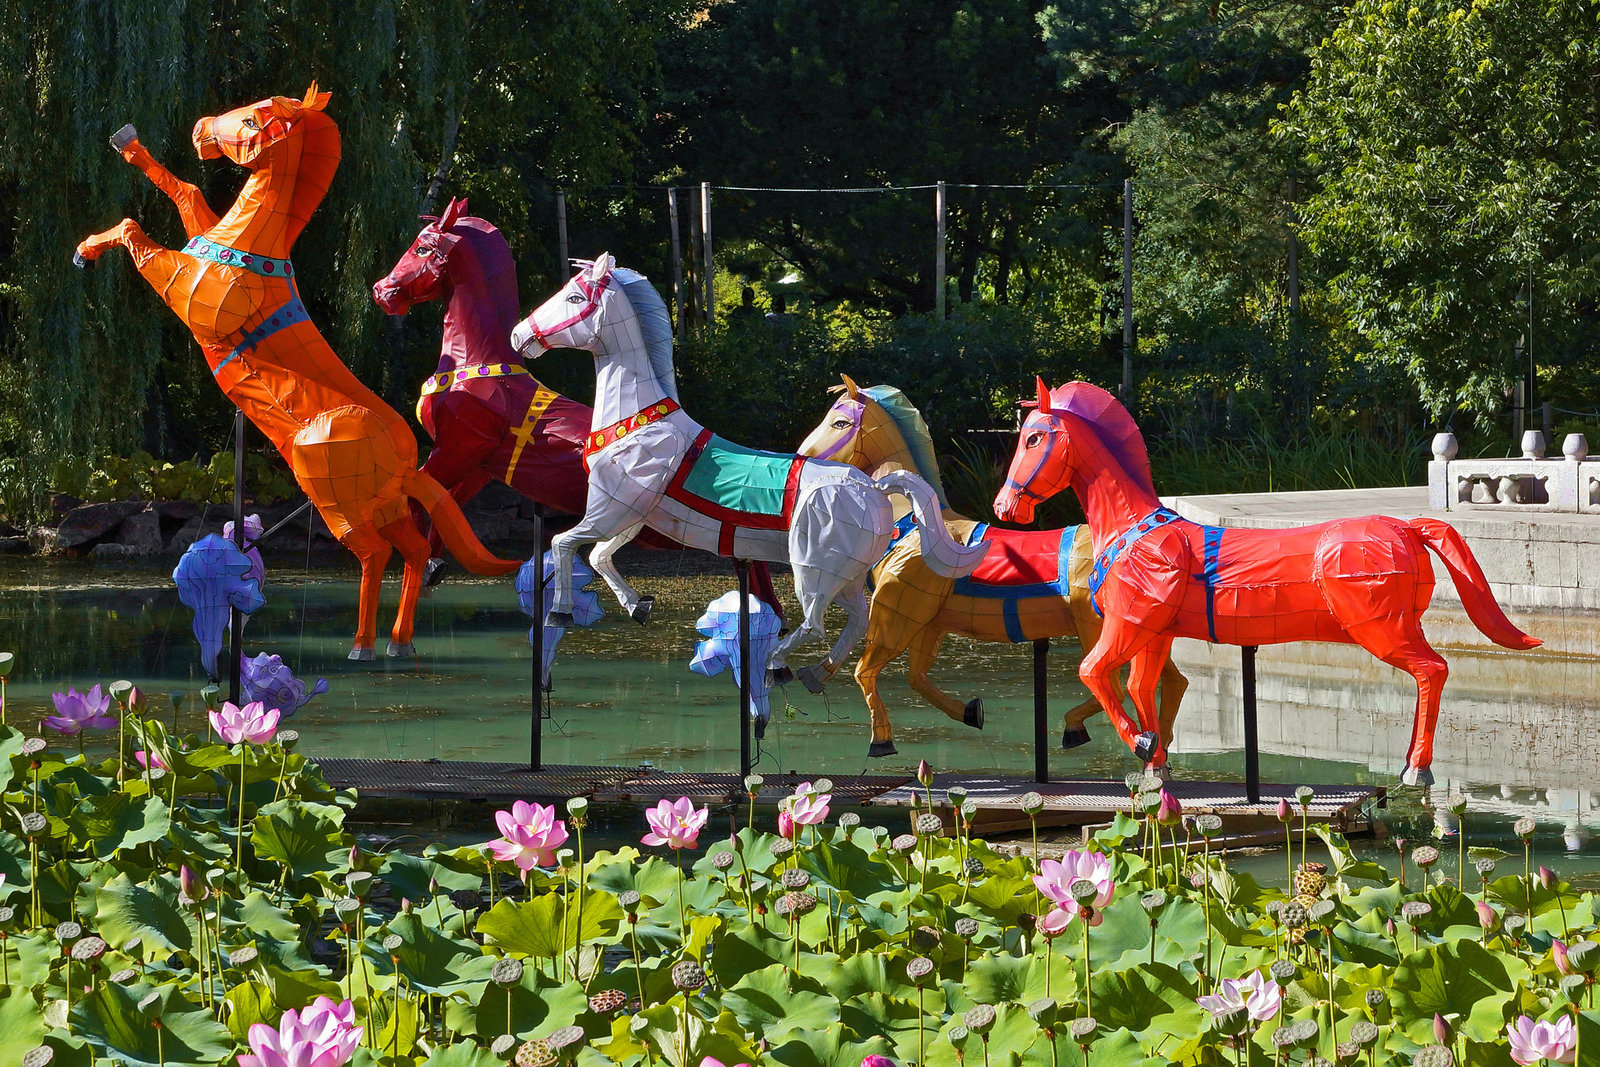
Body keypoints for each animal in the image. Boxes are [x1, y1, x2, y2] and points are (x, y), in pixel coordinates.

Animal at [76, 87, 518, 659]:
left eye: (251, 119)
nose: (199, 128)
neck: (246, 245)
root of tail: (404, 460)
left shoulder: (185, 292)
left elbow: (137, 229)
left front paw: (86, 247)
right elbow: (186, 192)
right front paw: (120, 161)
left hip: (332, 496)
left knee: (374, 555)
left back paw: (361, 646)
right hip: (383, 507)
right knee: (415, 552)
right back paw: (398, 644)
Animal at [369, 199, 780, 617]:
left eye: (422, 248)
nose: (382, 291)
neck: (476, 366)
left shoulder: (456, 448)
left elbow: (415, 499)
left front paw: (425, 562)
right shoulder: (479, 466)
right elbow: (445, 504)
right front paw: (435, 566)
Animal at [512, 255, 985, 694]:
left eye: (575, 298)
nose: (519, 335)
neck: (640, 422)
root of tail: (874, 487)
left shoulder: (611, 508)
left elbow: (564, 543)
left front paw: (560, 610)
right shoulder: (634, 515)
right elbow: (598, 555)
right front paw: (637, 606)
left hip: (812, 571)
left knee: (816, 624)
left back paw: (777, 665)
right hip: (846, 575)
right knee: (856, 622)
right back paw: (814, 674)